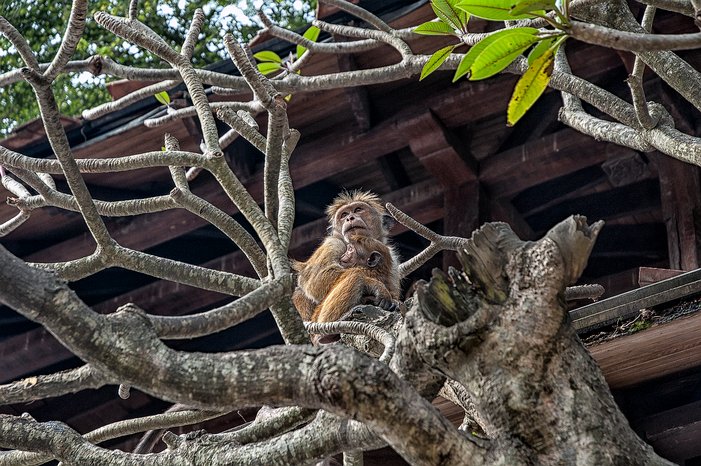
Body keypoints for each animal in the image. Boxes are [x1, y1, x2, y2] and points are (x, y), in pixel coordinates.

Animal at [290, 189, 400, 324]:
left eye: (358, 209)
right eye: (343, 215)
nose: (349, 218)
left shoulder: (392, 256)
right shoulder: (333, 243)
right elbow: (315, 280)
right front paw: (375, 285)